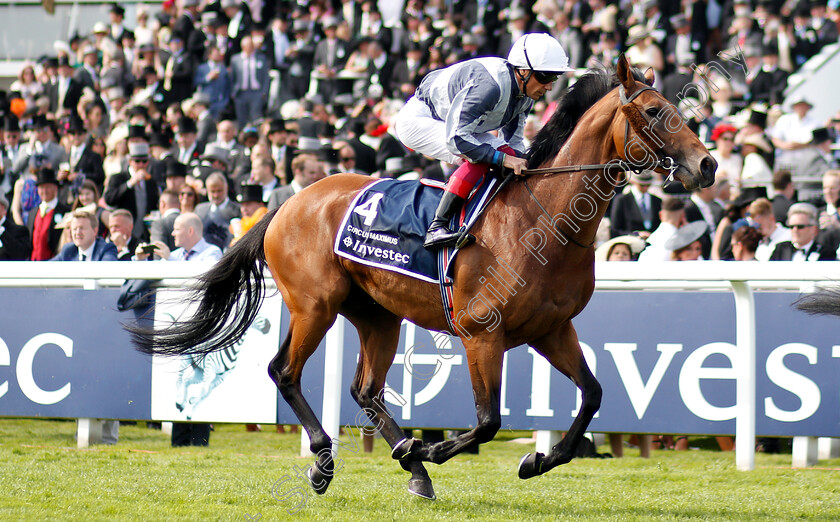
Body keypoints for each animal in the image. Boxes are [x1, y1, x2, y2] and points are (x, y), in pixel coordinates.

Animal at [130, 54, 716, 498]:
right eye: (655, 110)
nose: (707, 166)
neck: (544, 219)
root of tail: (289, 202)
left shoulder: (552, 330)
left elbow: (592, 396)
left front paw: (535, 461)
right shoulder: (482, 334)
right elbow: (487, 421)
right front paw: (434, 447)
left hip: (377, 315)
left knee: (365, 390)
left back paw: (409, 464)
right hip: (314, 305)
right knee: (285, 372)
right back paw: (330, 458)